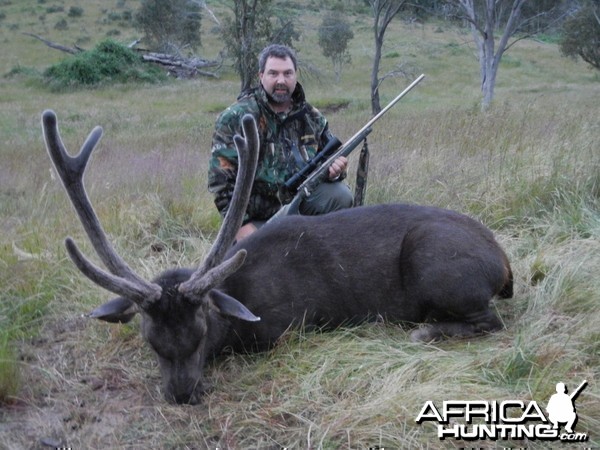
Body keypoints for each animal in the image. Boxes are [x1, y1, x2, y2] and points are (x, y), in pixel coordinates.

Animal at [42, 109, 512, 404]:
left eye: (201, 332)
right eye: (150, 341)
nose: (182, 395)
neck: (237, 302)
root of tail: (504, 263)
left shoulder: (286, 328)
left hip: (437, 267)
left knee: (490, 320)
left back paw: (425, 331)